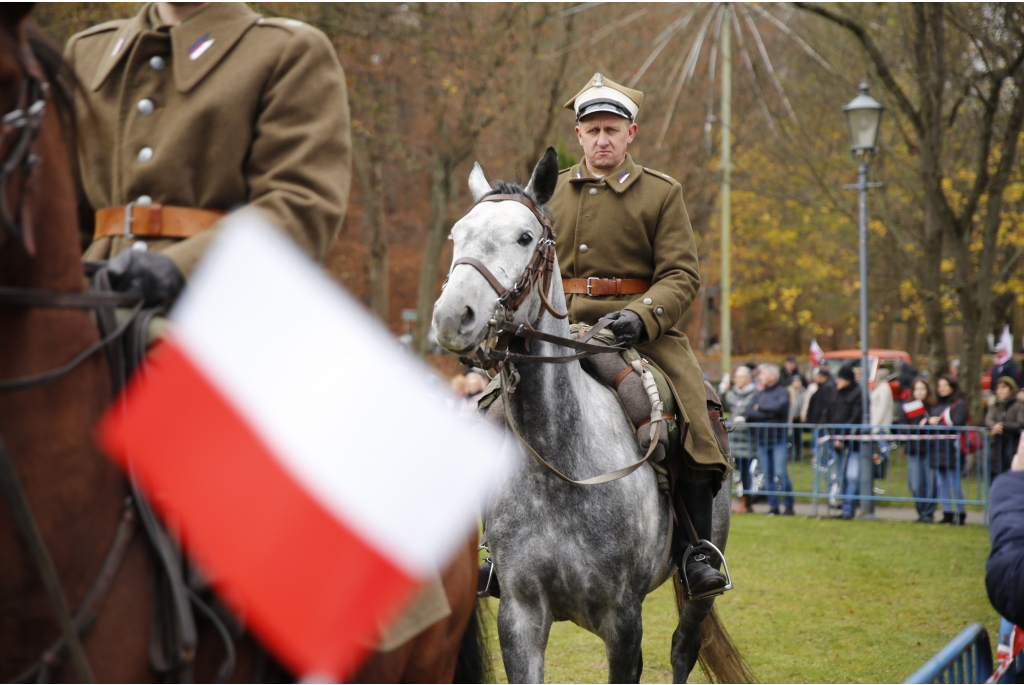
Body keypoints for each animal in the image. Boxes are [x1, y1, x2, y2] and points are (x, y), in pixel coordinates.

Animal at [428, 150, 749, 683]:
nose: (453, 317)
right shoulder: (520, 617)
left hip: (699, 585)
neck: (559, 465)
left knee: (684, 647)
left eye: (525, 237)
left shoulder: (623, 622)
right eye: (458, 234)